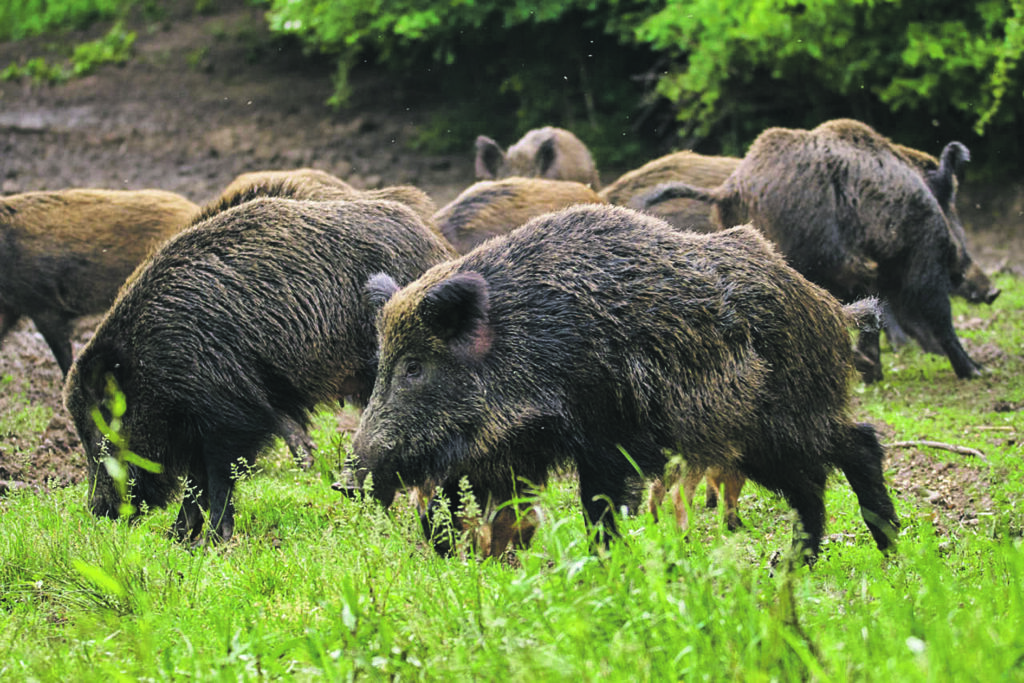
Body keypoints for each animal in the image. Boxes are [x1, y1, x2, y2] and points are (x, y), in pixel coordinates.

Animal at [63, 197, 454, 544]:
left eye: (99, 428)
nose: (97, 510)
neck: (152, 361)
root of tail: (438, 249)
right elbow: (195, 482)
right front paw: (176, 540)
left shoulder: (231, 413)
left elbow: (219, 477)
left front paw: (213, 543)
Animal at [352, 204, 899, 562]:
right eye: (383, 363)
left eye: (415, 366)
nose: (347, 479)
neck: (529, 343)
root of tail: (832, 308)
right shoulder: (510, 450)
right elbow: (466, 504)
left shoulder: (603, 435)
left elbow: (599, 508)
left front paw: (606, 568)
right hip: (750, 439)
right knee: (811, 482)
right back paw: (793, 565)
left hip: (784, 417)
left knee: (858, 444)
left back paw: (890, 550)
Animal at [633, 119, 984, 381]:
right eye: (951, 204)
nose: (990, 291)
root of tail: (731, 187)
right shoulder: (922, 254)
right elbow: (936, 311)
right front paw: (976, 371)